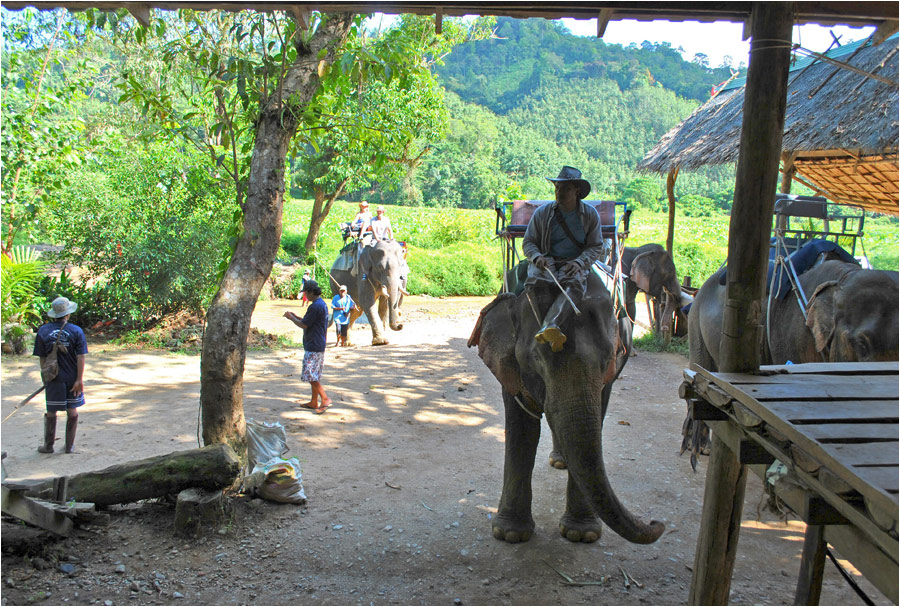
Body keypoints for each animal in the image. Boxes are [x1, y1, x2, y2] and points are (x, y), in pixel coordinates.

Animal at [468, 272, 664, 548]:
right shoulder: (507, 363)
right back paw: (560, 460)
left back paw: (562, 462)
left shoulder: (610, 374)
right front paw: (510, 535)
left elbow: (595, 419)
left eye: (608, 359)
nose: (657, 522)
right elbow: (521, 428)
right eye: (536, 360)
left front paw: (582, 535)